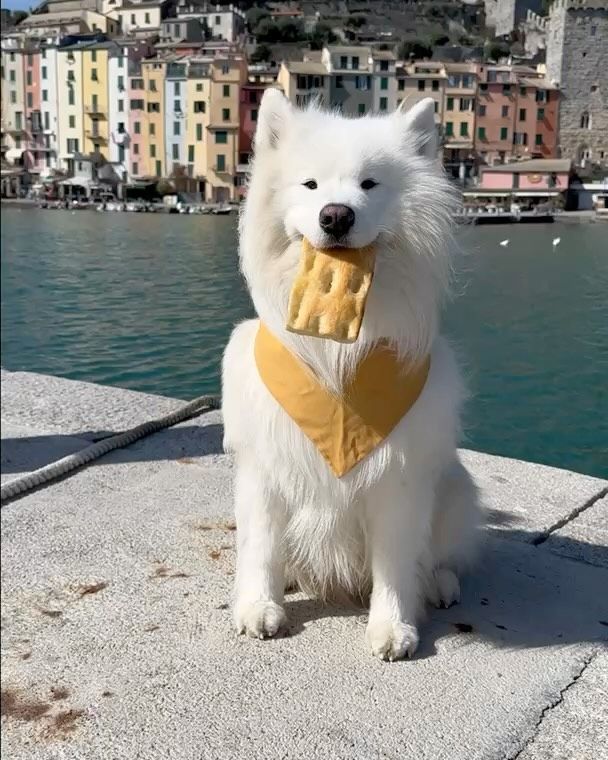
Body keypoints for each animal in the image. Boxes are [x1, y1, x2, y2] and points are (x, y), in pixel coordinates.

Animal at [221, 87, 482, 660]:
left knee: (440, 557)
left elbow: (395, 566)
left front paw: (393, 628)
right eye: (311, 185)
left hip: (454, 487)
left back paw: (438, 584)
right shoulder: (265, 467)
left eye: (369, 185)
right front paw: (259, 607)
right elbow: (262, 547)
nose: (336, 215)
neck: (338, 360)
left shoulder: (398, 479)